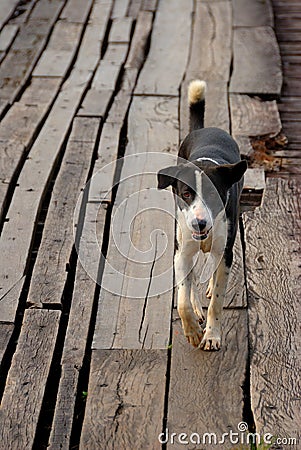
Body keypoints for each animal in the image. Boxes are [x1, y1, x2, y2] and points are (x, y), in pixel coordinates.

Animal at [157, 79, 246, 350]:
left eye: (213, 194)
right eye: (186, 194)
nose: (199, 223)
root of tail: (206, 129)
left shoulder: (225, 252)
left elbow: (217, 300)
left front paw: (212, 335)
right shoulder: (182, 251)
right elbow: (182, 298)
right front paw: (193, 331)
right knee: (193, 277)